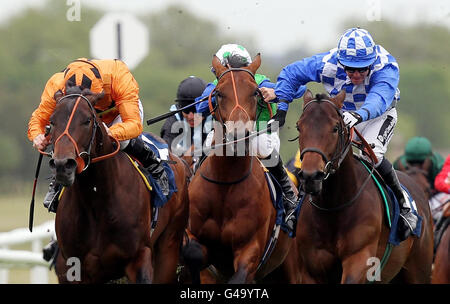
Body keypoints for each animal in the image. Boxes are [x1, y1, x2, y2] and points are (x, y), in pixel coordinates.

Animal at [48, 89, 189, 284]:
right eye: (52, 122)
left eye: (87, 120)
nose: (62, 165)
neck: (96, 200)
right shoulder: (75, 266)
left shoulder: (139, 257)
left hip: (169, 245)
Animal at [181, 55, 300, 284]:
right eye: (219, 93)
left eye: (255, 92)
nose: (238, 136)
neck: (226, 181)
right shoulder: (194, 237)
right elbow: (193, 253)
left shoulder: (250, 250)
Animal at [294, 89, 434, 282]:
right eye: (299, 127)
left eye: (335, 128)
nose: (311, 176)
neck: (333, 207)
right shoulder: (311, 269)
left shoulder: (359, 258)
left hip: (419, 271)